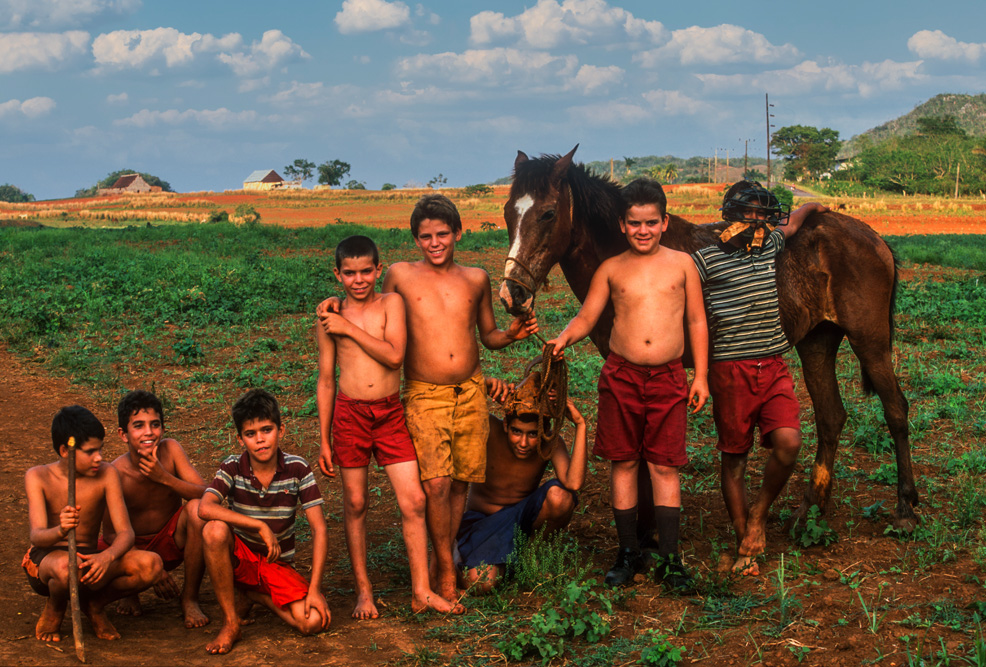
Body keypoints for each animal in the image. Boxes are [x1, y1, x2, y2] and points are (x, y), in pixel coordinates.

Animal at [497, 145, 918, 533]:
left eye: (548, 214)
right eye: (507, 213)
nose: (512, 295)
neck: (632, 254)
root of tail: (873, 236)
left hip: (870, 342)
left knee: (896, 410)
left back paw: (905, 507)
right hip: (817, 342)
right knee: (831, 417)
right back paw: (810, 510)